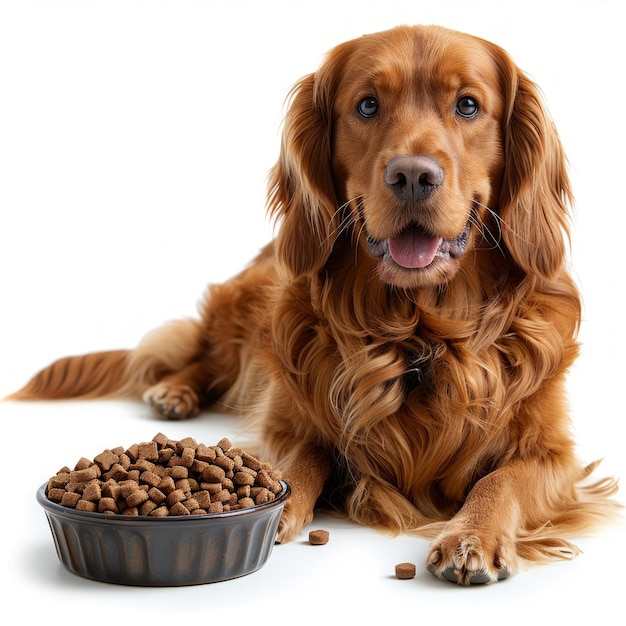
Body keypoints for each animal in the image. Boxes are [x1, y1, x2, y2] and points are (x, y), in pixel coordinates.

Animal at [8, 23, 616, 580]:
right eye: (367, 105)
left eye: (468, 105)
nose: (412, 175)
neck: (420, 328)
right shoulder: (290, 411)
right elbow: (308, 450)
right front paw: (281, 502)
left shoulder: (556, 455)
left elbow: (501, 478)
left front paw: (472, 535)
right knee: (203, 356)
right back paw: (174, 391)